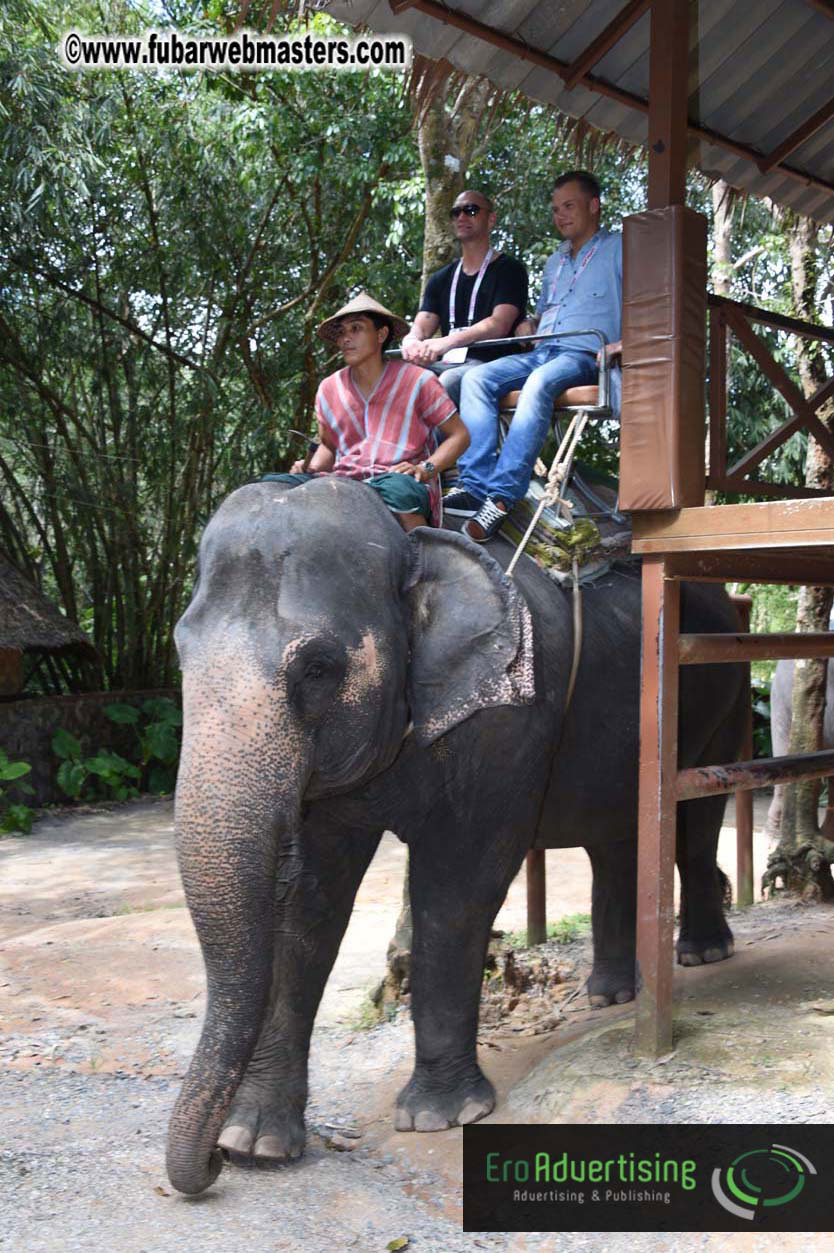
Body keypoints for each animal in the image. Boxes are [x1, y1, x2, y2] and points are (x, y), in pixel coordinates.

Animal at [165, 477, 747, 1195]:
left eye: (318, 668)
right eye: (179, 652)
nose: (210, 1164)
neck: (411, 542)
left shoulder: (507, 714)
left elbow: (456, 887)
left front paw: (441, 1117)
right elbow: (309, 904)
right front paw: (258, 1144)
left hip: (722, 683)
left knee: (696, 820)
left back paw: (700, 954)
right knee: (613, 838)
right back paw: (608, 994)